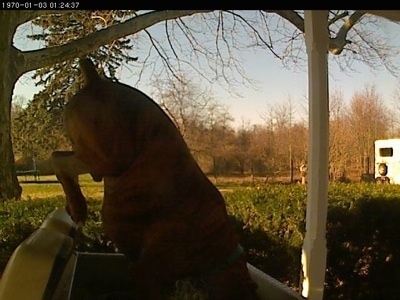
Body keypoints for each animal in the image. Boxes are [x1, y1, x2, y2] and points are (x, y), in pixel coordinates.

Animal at [51, 58, 260, 300]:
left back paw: (72, 206)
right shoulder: (146, 274)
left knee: (61, 159)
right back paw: (78, 207)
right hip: (108, 158)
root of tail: (97, 82)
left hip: (96, 157)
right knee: (59, 162)